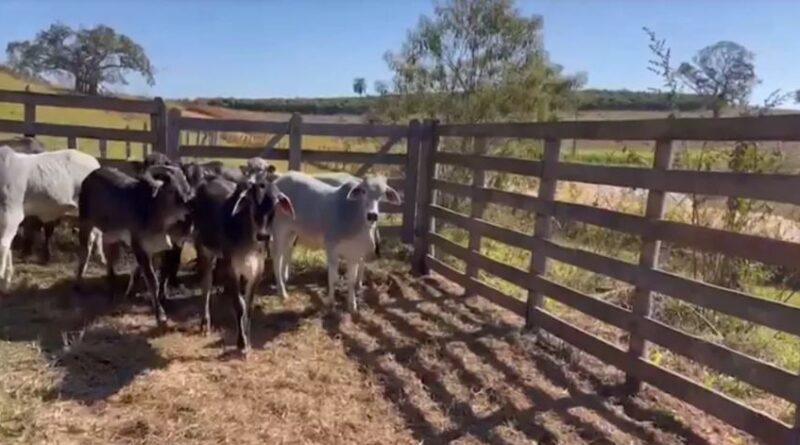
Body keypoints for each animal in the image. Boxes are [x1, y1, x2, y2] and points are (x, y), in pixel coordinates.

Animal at [0, 145, 102, 290]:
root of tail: (94, 162)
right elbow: (8, 246)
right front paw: (6, 280)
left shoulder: (11, 213)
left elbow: (3, 246)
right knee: (92, 237)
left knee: (89, 241)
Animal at [76, 165, 194, 328]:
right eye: (172, 190)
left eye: (186, 188)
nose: (189, 210)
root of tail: (91, 175)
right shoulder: (139, 247)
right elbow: (153, 282)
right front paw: (160, 316)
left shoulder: (158, 250)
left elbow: (153, 275)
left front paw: (130, 293)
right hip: (86, 223)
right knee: (84, 251)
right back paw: (79, 285)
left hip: (110, 236)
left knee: (109, 259)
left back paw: (111, 288)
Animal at [191, 173, 294, 352]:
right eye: (252, 201)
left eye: (275, 203)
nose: (263, 235)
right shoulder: (231, 269)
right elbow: (238, 305)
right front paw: (241, 342)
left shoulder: (256, 270)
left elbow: (248, 306)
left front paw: (248, 339)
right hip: (203, 249)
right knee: (206, 285)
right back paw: (205, 323)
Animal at [269, 171, 400, 313]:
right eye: (363, 191)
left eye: (382, 194)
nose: (372, 215)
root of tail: (277, 181)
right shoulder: (331, 249)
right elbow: (333, 278)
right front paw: (331, 303)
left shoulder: (354, 255)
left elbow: (351, 280)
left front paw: (352, 305)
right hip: (279, 229)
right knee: (277, 257)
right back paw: (282, 292)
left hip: (291, 232)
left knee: (286, 252)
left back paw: (284, 280)